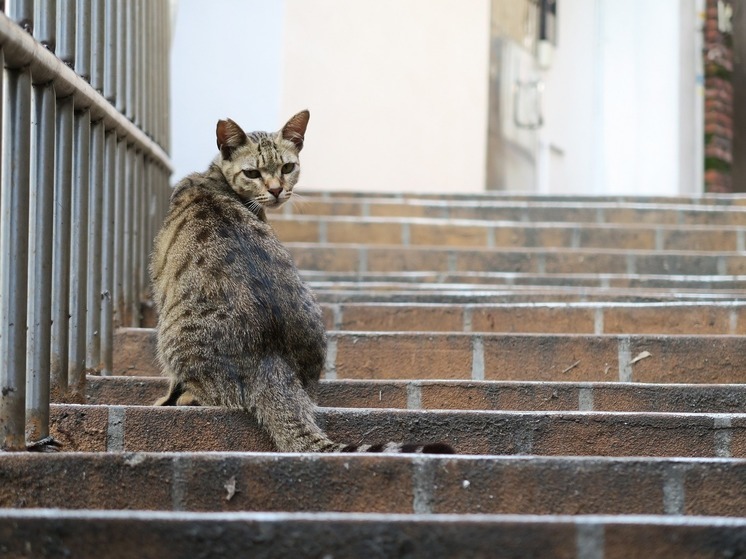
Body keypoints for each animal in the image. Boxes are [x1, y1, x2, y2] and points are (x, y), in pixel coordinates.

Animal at [149, 110, 450, 456]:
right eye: (252, 172)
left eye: (287, 168)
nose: (277, 190)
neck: (214, 180)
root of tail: (269, 361)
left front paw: (166, 398)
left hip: (170, 335)